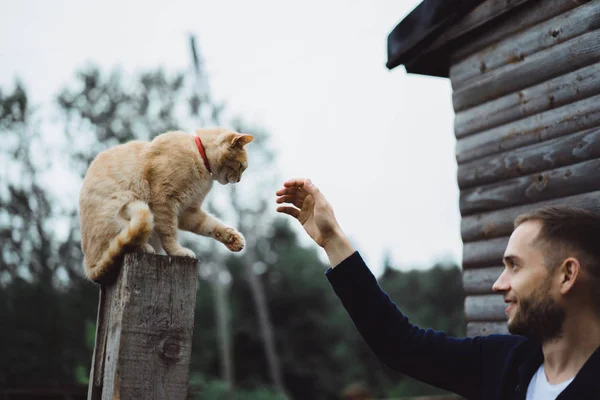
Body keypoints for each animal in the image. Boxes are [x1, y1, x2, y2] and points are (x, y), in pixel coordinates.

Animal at [78, 127, 253, 282]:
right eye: (241, 167)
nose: (239, 180)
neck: (200, 157)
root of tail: (89, 268)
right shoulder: (164, 201)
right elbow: (169, 233)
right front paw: (177, 251)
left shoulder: (188, 212)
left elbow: (211, 225)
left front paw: (232, 238)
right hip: (122, 207)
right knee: (120, 246)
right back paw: (143, 248)